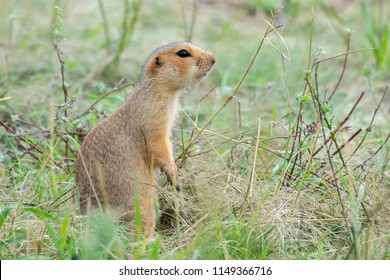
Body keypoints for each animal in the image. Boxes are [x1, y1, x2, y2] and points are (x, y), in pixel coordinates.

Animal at [75, 40, 216, 235]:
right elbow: (158, 147)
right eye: (183, 53)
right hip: (141, 205)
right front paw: (173, 174)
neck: (158, 91)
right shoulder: (153, 123)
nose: (214, 58)